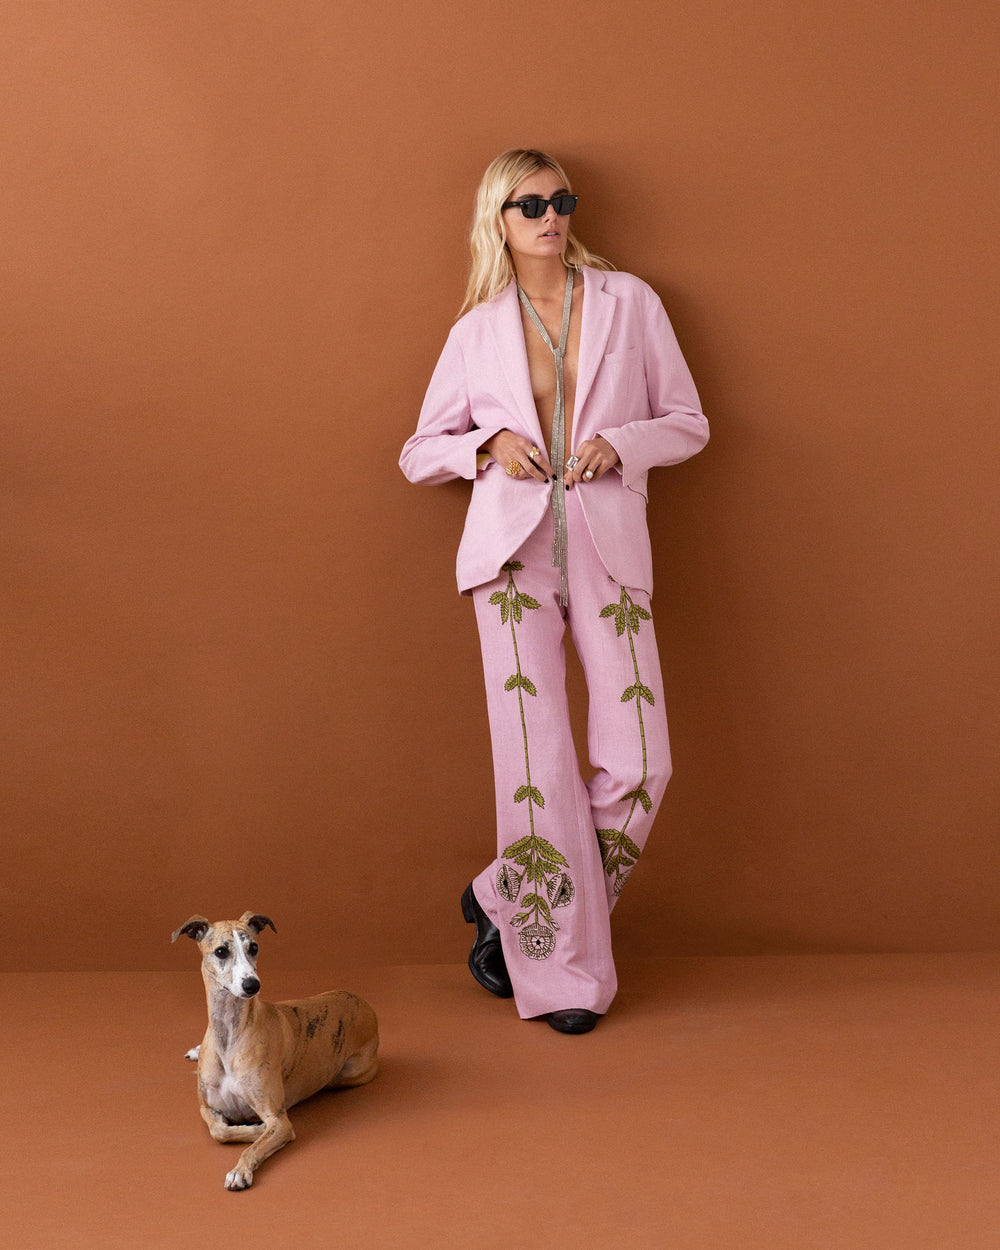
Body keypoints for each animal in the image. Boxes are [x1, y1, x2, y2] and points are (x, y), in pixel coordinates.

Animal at [172, 910, 380, 1190]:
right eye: (221, 951)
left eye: (254, 947)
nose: (252, 985)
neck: (230, 1036)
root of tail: (364, 1004)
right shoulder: (206, 1106)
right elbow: (219, 1131)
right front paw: (252, 1131)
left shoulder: (278, 1120)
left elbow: (252, 1143)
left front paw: (241, 1167)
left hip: (349, 1074)